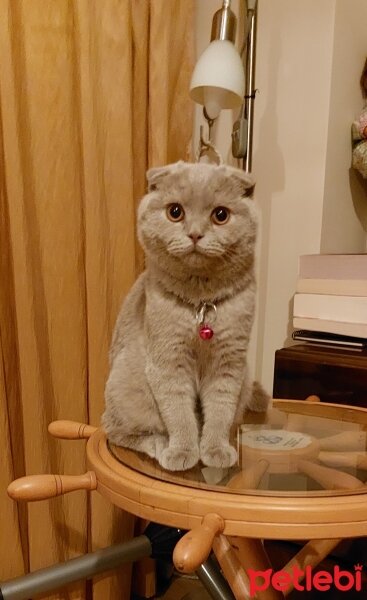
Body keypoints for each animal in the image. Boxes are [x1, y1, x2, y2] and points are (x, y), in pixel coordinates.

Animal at [102, 162, 268, 472]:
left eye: (220, 215)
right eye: (175, 212)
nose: (194, 234)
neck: (201, 305)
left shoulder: (229, 364)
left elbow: (220, 412)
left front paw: (215, 450)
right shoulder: (168, 362)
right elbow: (179, 414)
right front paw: (183, 451)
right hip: (125, 384)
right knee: (116, 429)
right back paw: (160, 445)